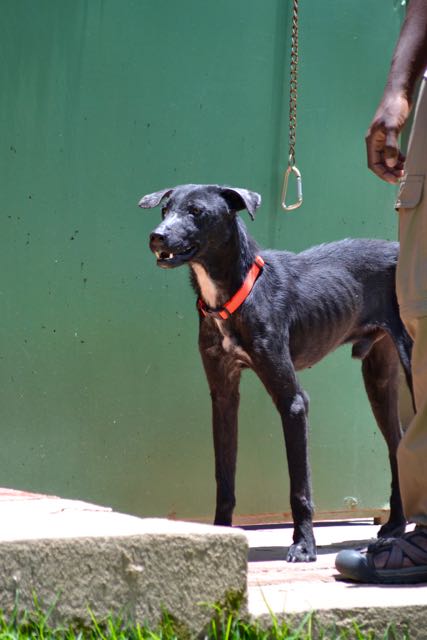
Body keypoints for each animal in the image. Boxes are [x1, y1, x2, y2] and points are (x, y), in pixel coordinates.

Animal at [139, 183, 414, 562]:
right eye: (165, 210)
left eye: (196, 211)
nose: (157, 236)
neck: (235, 293)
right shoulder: (223, 398)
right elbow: (224, 478)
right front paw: (221, 535)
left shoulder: (294, 402)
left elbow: (300, 486)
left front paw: (304, 545)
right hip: (379, 380)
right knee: (397, 443)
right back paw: (395, 525)